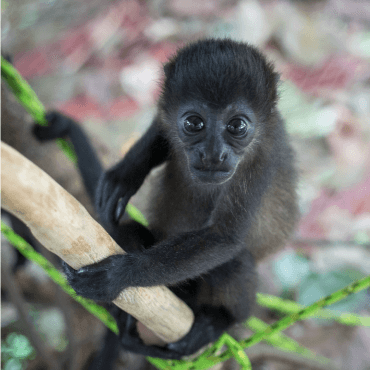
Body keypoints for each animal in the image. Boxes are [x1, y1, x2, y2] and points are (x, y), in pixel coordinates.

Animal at [31, 38, 298, 362]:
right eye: (194, 123)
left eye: (237, 126)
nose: (213, 154)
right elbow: (161, 126)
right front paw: (125, 174)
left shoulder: (264, 156)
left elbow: (224, 237)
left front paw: (117, 276)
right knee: (128, 232)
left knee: (234, 262)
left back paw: (218, 321)